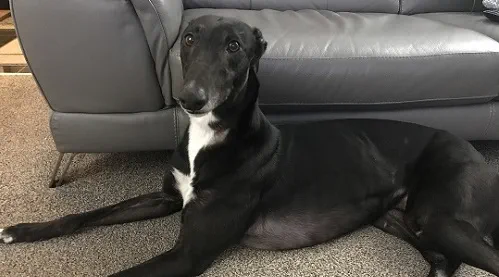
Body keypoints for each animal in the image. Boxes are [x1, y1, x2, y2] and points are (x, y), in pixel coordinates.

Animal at [2, 14, 499, 276]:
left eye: (234, 47)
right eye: (188, 39)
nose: (189, 98)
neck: (212, 137)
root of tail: (472, 150)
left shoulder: (188, 254)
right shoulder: (168, 196)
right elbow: (86, 214)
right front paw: (21, 231)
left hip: (438, 214)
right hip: (402, 220)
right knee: (443, 261)